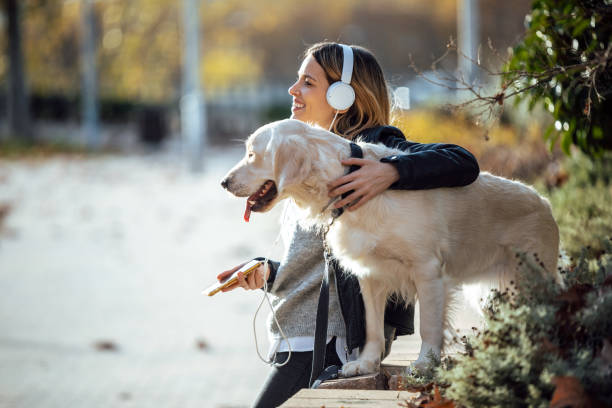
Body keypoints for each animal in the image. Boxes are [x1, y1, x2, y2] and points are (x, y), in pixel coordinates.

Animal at [219, 118, 560, 376]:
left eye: (252, 154)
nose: (223, 182)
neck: (346, 182)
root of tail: (545, 201)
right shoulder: (370, 274)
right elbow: (371, 327)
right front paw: (365, 363)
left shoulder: (428, 270)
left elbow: (429, 326)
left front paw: (425, 364)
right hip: (491, 292)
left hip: (529, 279)